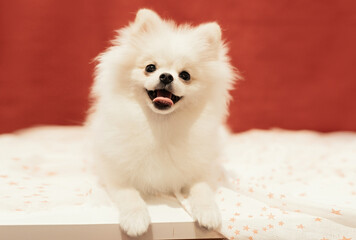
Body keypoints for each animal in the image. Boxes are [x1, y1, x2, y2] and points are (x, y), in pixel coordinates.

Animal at [87, 8, 236, 236]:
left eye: (185, 75)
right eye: (150, 67)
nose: (166, 76)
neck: (160, 125)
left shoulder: (201, 169)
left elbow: (202, 188)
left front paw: (208, 212)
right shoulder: (115, 174)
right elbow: (128, 193)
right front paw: (135, 219)